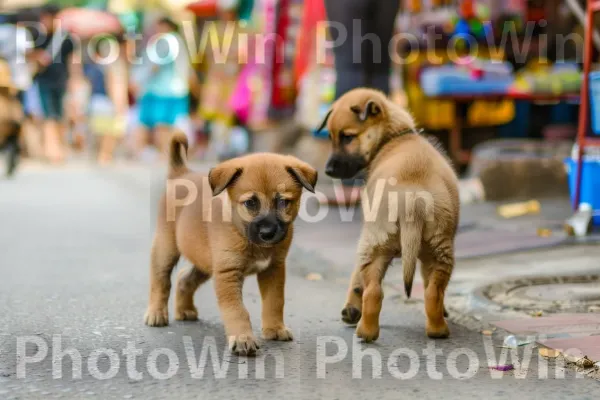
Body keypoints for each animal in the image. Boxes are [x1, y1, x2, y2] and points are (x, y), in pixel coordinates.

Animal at [318, 87, 460, 340]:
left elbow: (355, 276)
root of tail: (413, 203)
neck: (394, 136)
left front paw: (351, 308)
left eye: (347, 137)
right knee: (433, 291)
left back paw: (365, 331)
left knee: (373, 291)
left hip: (374, 245)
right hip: (438, 250)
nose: (328, 171)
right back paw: (437, 329)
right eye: (331, 137)